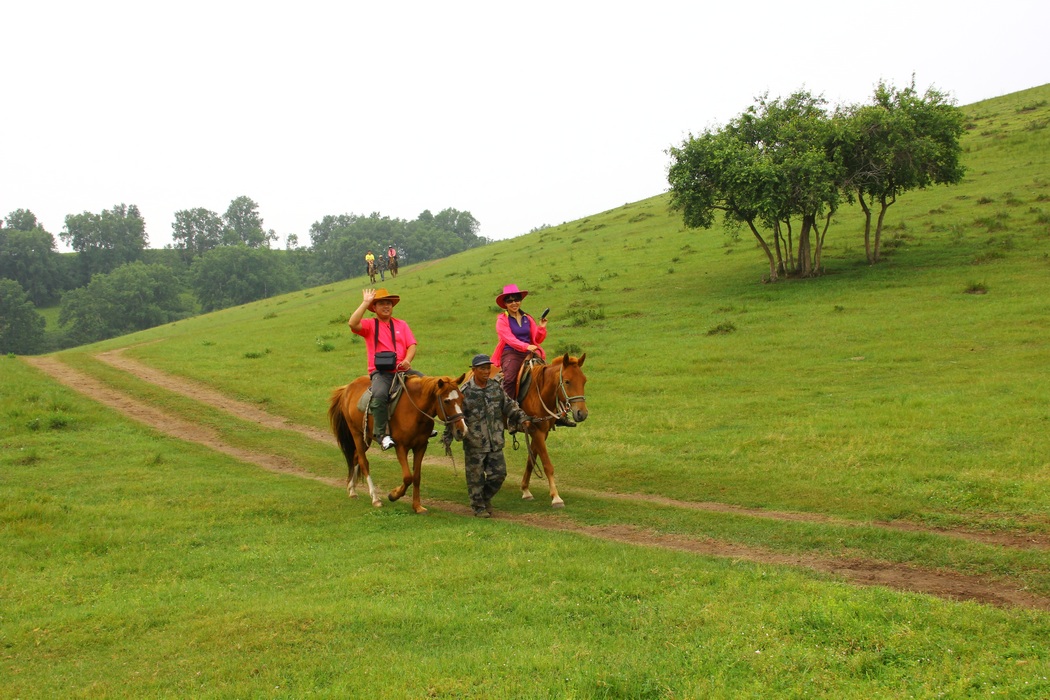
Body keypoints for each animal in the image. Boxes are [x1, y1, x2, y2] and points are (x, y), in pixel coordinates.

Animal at [327, 371, 468, 514]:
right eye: (446, 401)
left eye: (462, 398)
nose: (462, 430)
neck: (414, 410)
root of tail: (347, 388)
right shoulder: (401, 447)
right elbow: (407, 477)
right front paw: (393, 495)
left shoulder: (421, 446)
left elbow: (416, 477)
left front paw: (417, 506)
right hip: (357, 434)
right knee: (363, 462)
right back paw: (375, 498)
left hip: (366, 437)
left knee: (355, 457)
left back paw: (352, 490)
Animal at [516, 352, 592, 505]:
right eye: (567, 381)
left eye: (584, 381)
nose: (582, 413)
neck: (538, 393)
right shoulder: (536, 431)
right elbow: (547, 465)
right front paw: (556, 497)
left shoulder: (541, 432)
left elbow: (531, 461)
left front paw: (525, 490)